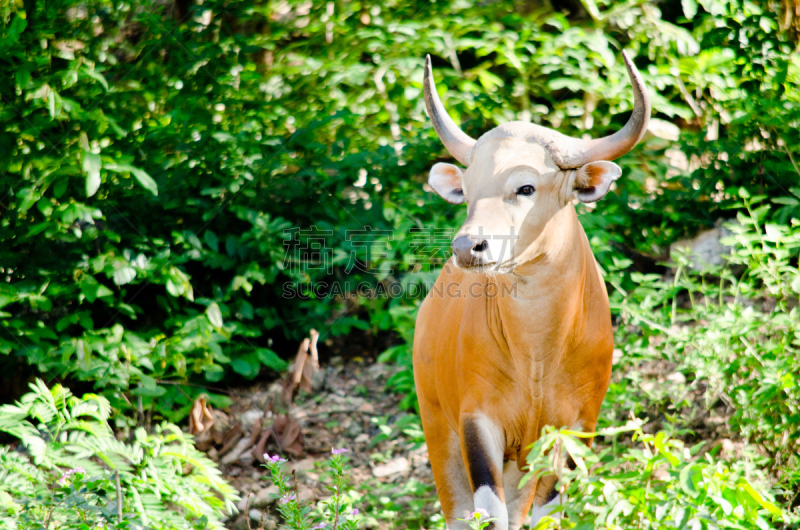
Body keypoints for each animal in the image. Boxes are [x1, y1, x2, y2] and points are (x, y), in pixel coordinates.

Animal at [412, 50, 648, 528]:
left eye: (525, 186)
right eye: (467, 192)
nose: (468, 246)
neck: (537, 357)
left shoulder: (577, 426)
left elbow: (548, 511)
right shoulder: (477, 421)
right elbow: (489, 512)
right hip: (439, 430)